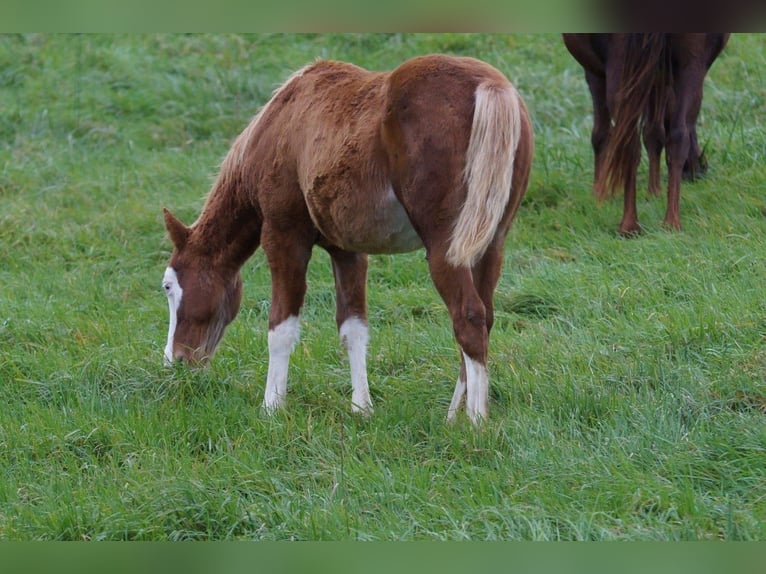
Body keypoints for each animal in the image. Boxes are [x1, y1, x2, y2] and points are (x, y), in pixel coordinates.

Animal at [160, 56, 536, 426]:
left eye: (168, 286)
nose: (174, 360)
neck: (281, 123)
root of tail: (491, 87)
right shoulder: (347, 250)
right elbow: (353, 327)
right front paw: (361, 407)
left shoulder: (284, 235)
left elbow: (281, 327)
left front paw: (272, 407)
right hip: (490, 245)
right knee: (484, 317)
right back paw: (454, 414)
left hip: (446, 250)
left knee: (468, 317)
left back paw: (476, 421)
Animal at [564, 33, 732, 236]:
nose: (698, 171)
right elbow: (654, 132)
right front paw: (654, 192)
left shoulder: (595, 72)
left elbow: (600, 135)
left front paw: (599, 194)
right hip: (690, 65)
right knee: (677, 135)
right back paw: (671, 222)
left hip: (620, 69)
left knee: (628, 142)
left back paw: (629, 225)